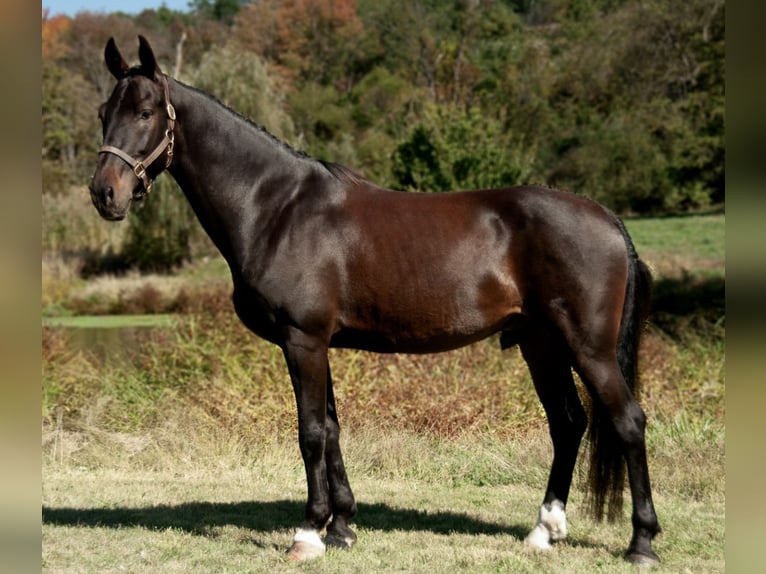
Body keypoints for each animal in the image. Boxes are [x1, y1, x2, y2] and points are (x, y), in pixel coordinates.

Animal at [89, 36, 661, 566]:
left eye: (144, 113)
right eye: (102, 113)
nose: (104, 194)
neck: (276, 208)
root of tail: (608, 220)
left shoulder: (303, 341)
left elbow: (310, 433)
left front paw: (308, 534)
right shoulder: (316, 343)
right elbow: (332, 431)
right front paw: (342, 528)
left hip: (588, 348)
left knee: (627, 422)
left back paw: (642, 543)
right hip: (540, 343)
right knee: (568, 423)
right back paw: (543, 531)